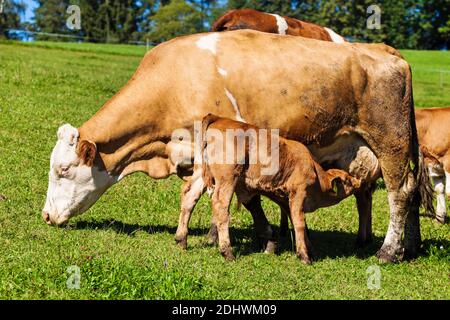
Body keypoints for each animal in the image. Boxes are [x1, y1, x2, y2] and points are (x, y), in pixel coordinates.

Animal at [200, 114, 362, 264]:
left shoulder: (283, 198)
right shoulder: (299, 192)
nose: (358, 181)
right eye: (347, 180)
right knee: (221, 208)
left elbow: (296, 221)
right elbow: (300, 223)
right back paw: (227, 252)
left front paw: (309, 250)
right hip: (227, 180)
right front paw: (304, 257)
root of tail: (218, 118)